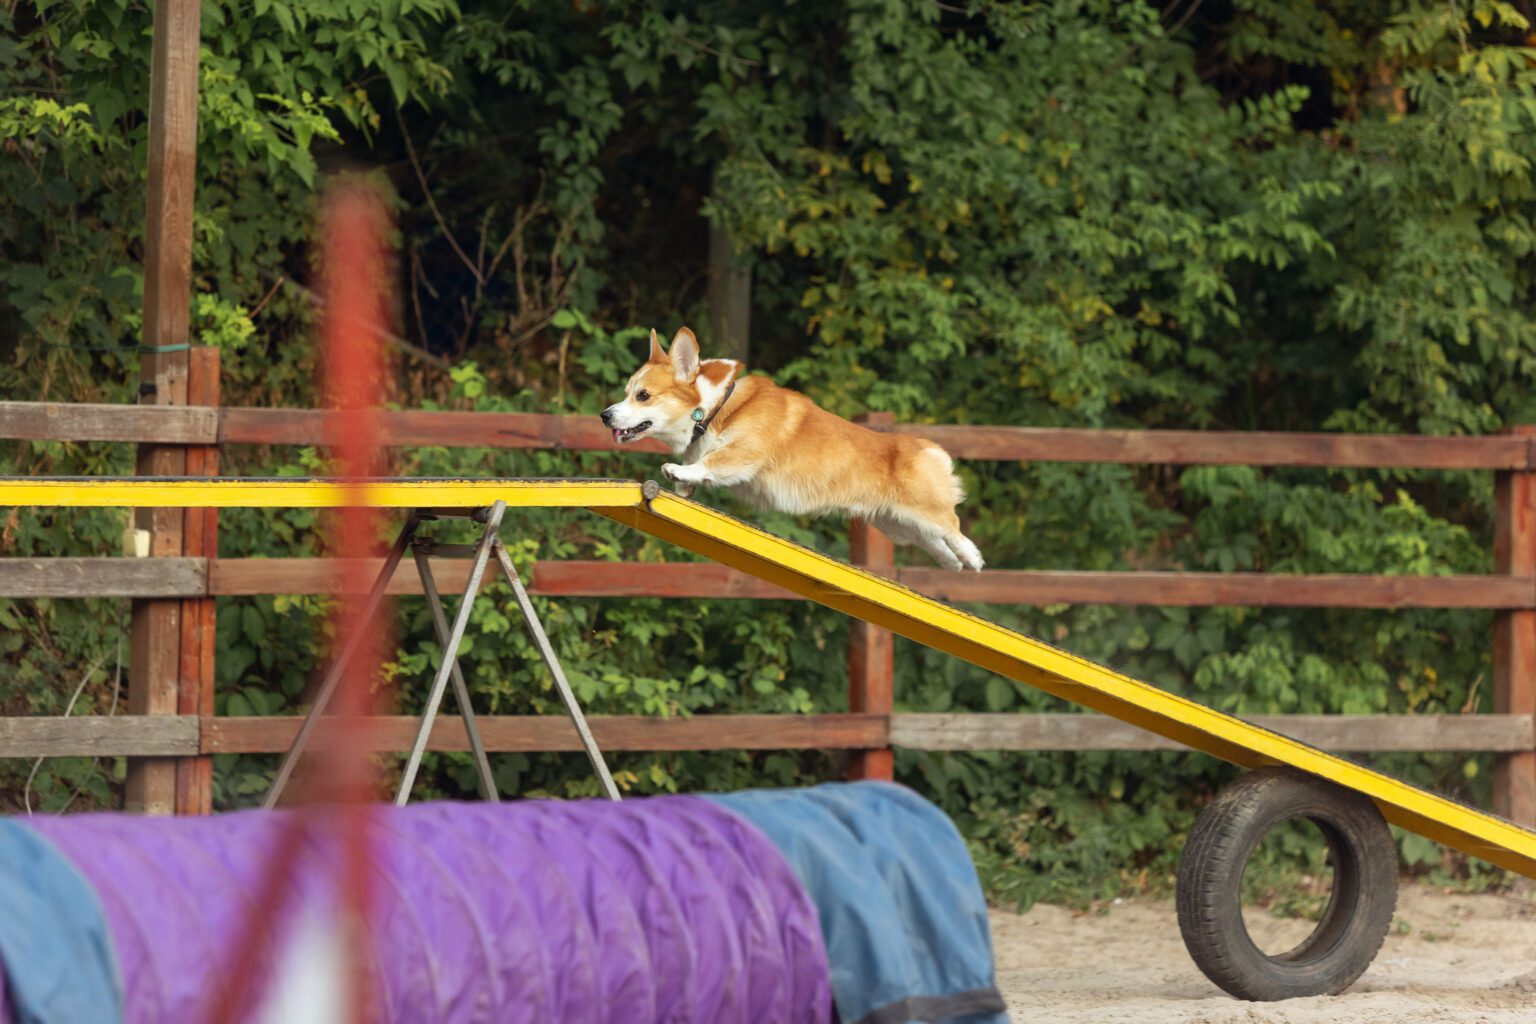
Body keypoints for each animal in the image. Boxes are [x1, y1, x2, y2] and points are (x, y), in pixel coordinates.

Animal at [599, 327, 983, 574]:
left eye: (643, 396)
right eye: (626, 392)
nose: (605, 415)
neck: (713, 409)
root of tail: (926, 446)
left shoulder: (745, 454)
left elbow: (711, 462)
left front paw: (677, 470)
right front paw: (682, 482)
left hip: (923, 511)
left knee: (953, 527)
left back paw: (973, 557)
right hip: (897, 524)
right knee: (934, 541)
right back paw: (952, 563)